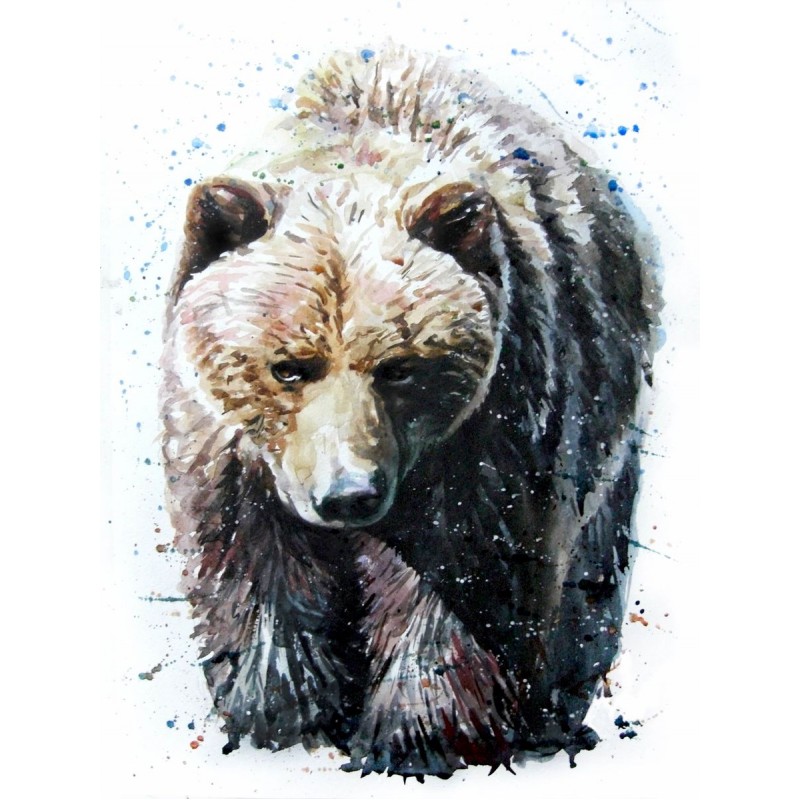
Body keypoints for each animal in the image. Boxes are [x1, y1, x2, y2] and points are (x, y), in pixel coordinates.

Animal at [161, 44, 660, 779]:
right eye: (290, 365)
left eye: (399, 367)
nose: (349, 495)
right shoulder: (231, 456)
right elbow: (257, 581)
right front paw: (278, 714)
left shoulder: (493, 432)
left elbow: (463, 584)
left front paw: (418, 734)